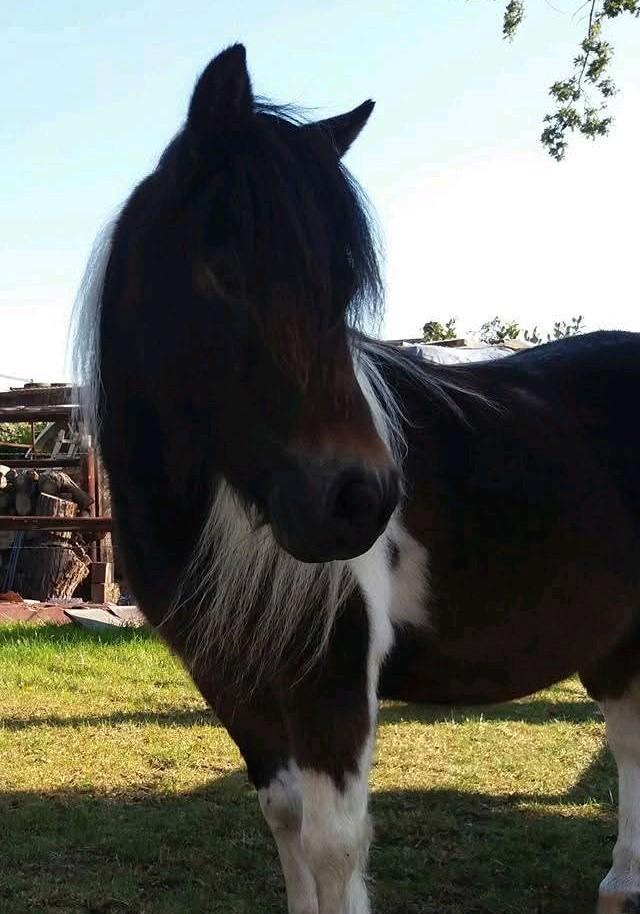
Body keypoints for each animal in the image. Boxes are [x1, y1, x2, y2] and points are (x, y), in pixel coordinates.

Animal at [73, 43, 640, 914]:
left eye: (342, 287)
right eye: (223, 269)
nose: (361, 501)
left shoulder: (331, 677)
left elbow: (334, 847)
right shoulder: (234, 685)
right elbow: (285, 822)